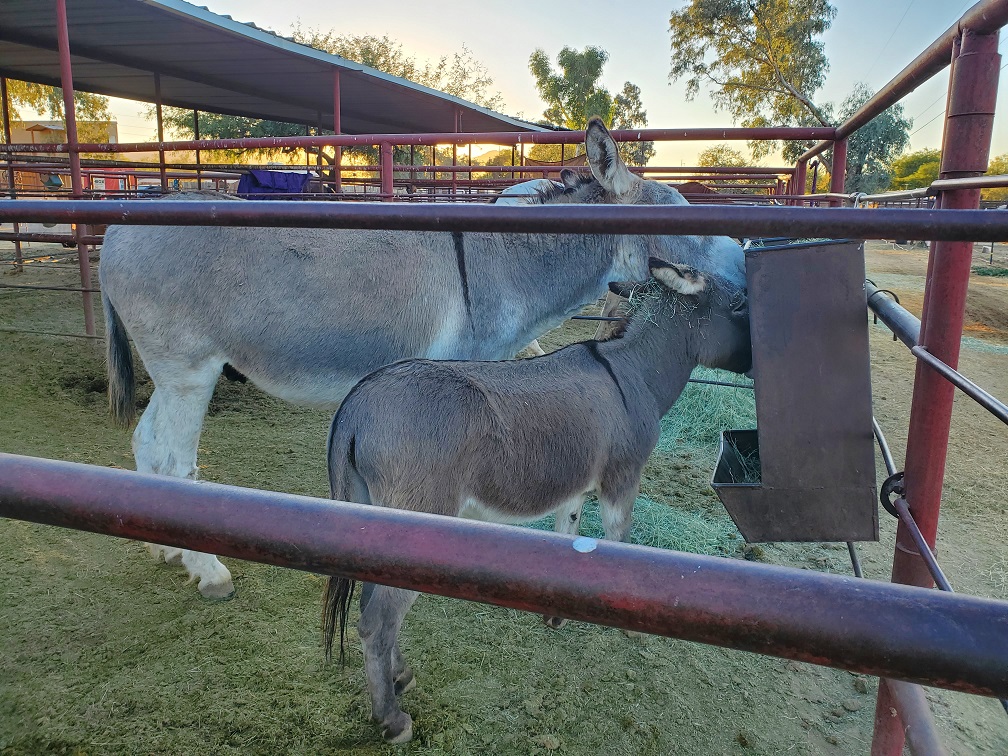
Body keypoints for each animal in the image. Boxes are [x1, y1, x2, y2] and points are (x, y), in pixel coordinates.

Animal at [99, 118, 746, 599]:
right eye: (686, 218)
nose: (746, 267)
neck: (499, 260)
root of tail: (113, 232)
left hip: (175, 374)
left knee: (145, 442)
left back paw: (165, 546)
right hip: (192, 371)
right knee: (177, 461)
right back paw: (208, 570)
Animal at [322, 258, 751, 743]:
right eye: (739, 303)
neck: (633, 373)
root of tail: (357, 403)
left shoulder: (575, 490)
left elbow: (566, 540)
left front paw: (556, 615)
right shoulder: (622, 479)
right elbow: (620, 541)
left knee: (370, 603)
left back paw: (400, 676)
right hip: (418, 524)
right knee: (377, 621)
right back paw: (392, 718)